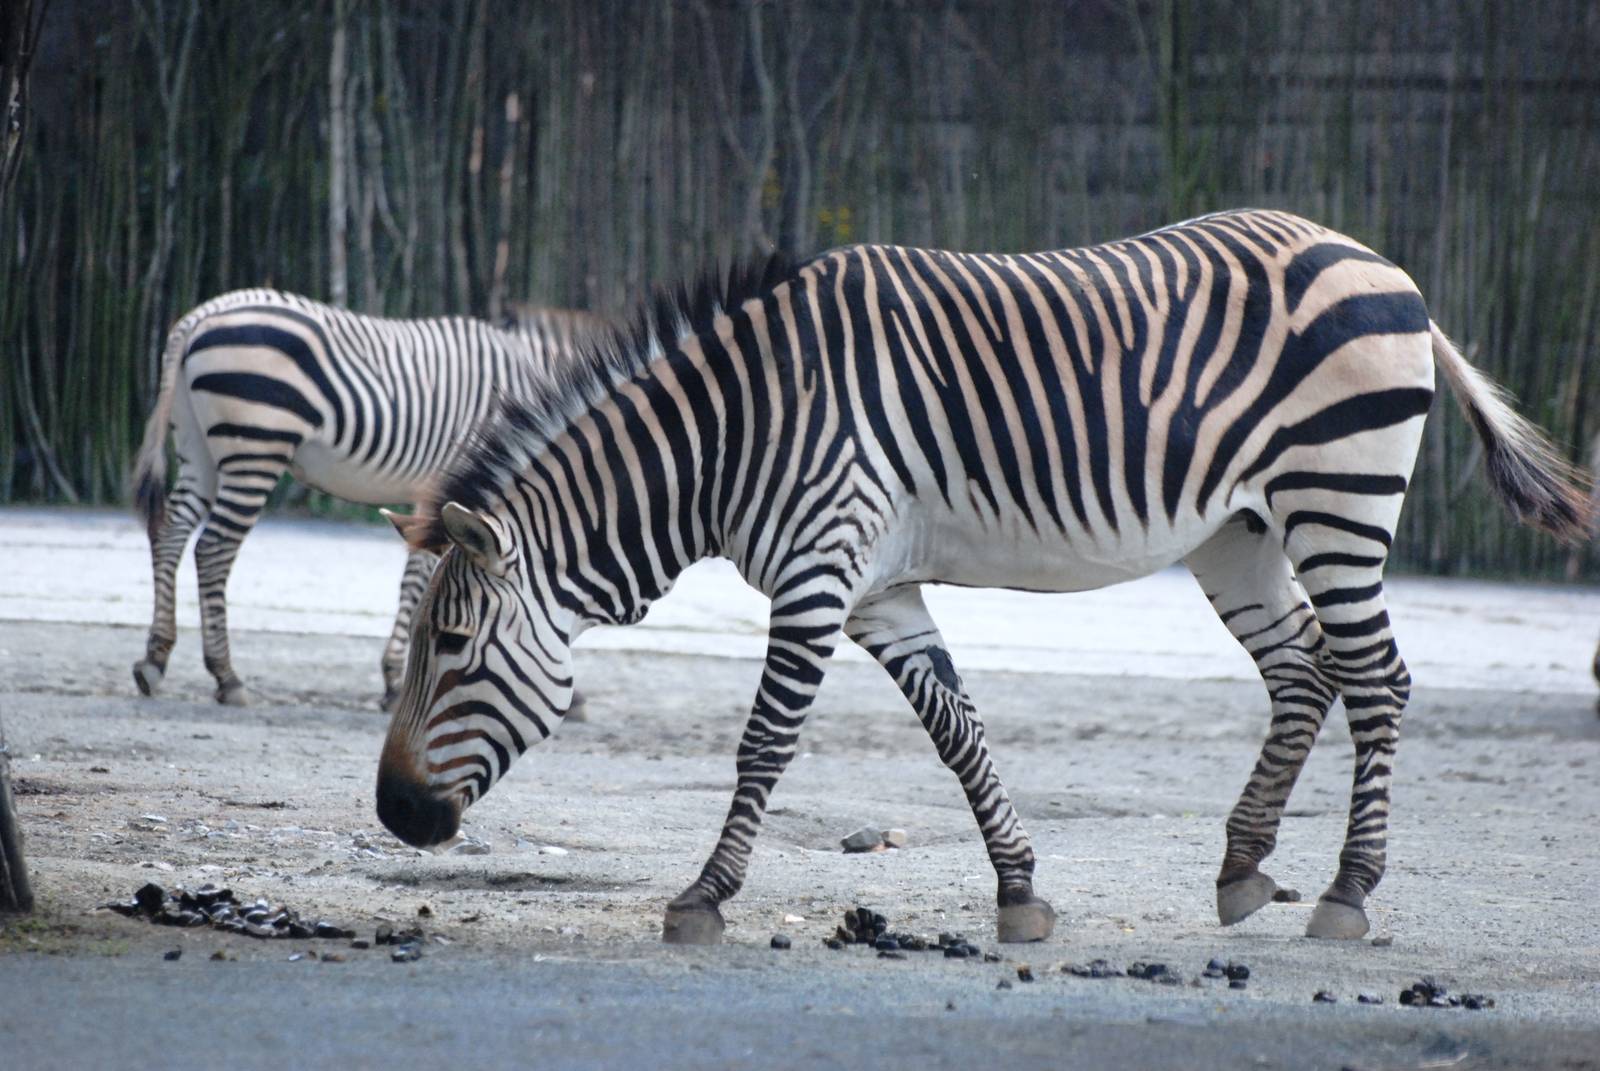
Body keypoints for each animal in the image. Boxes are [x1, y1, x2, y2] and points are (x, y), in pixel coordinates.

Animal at [129, 288, 605, 710]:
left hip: (198, 446)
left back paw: (154, 660)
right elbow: (427, 579)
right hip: (257, 444)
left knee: (171, 532)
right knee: (213, 549)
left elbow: (421, 577)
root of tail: (201, 316)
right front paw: (398, 681)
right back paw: (226, 676)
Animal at [372, 209, 1591, 946]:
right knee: (1303, 671)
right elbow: (956, 727)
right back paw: (1245, 866)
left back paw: (1345, 892)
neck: (735, 428)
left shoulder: (815, 573)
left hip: (1336, 497)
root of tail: (1380, 261)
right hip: (1237, 528)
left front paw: (703, 898)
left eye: (449, 647)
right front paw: (1020, 891)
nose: (392, 814)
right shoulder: (873, 586)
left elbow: (764, 742)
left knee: (1378, 679)